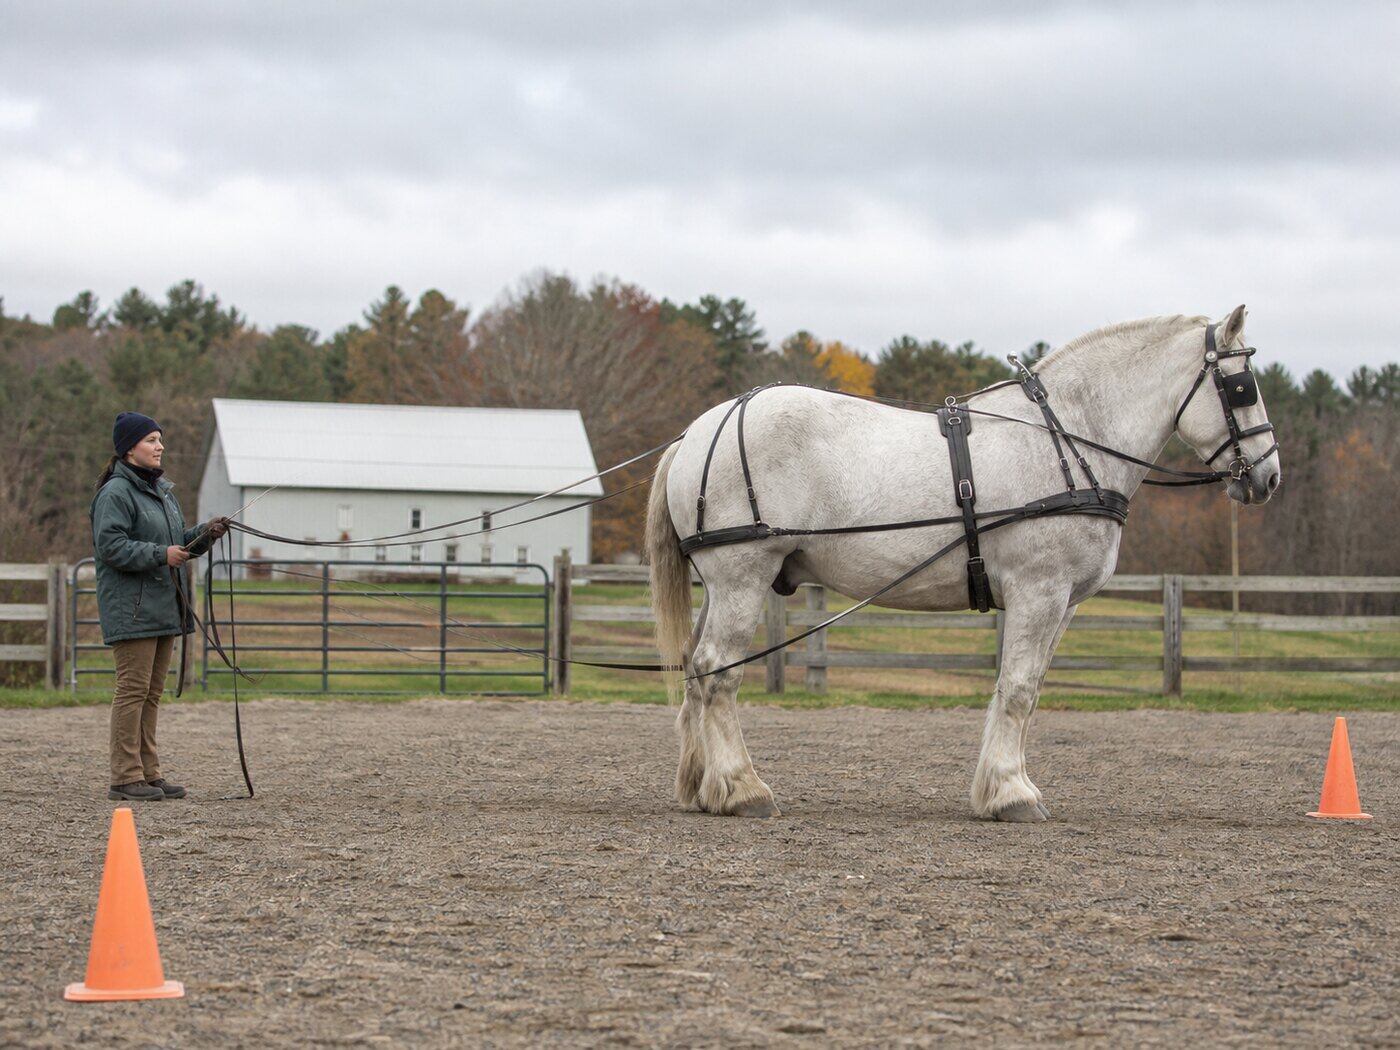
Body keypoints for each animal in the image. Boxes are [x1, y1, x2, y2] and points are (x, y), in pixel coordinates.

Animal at [644, 307, 1281, 821]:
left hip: (720, 586)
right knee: (718, 671)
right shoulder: (1039, 591)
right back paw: (742, 788)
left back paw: (702, 786)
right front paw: (1012, 795)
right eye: (1242, 385)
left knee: (696, 672)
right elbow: (1018, 689)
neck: (1069, 438)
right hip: (743, 577)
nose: (1269, 476)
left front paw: (1003, 787)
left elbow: (1028, 689)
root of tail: (700, 430)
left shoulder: (1063, 604)